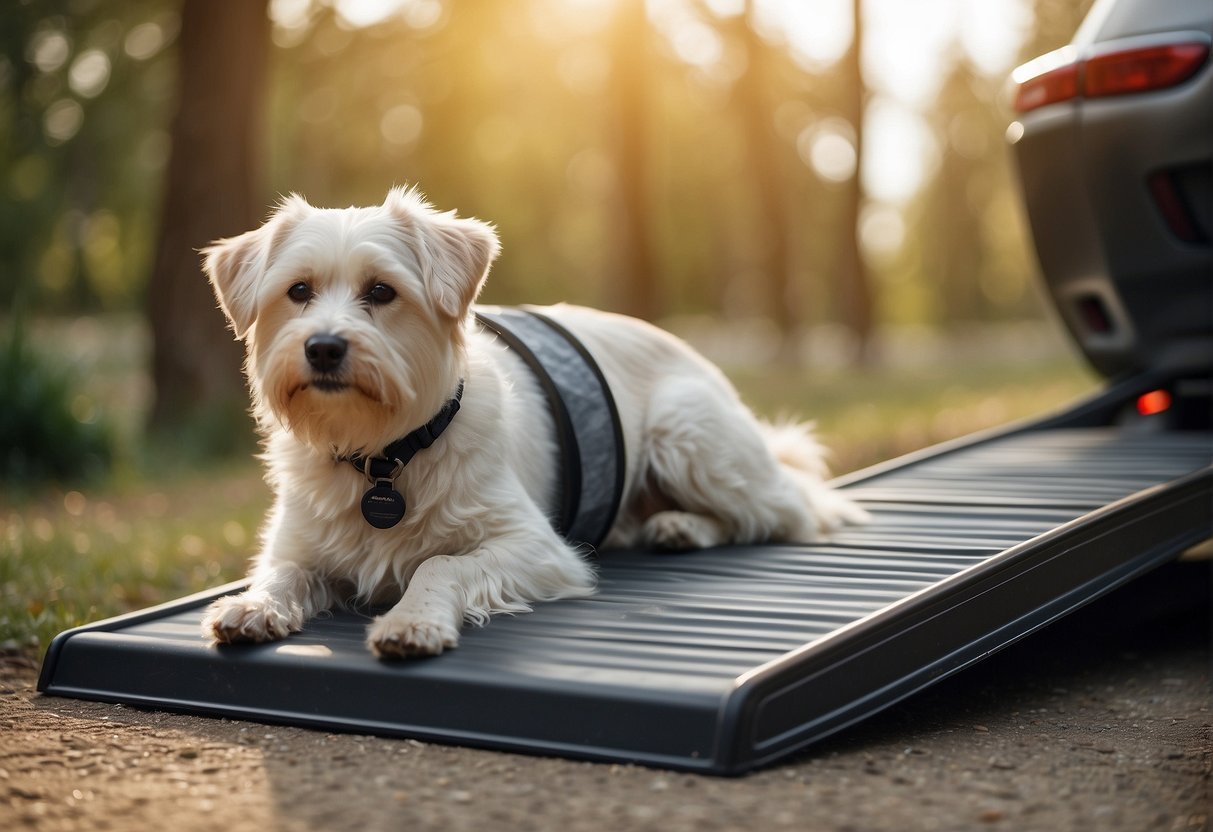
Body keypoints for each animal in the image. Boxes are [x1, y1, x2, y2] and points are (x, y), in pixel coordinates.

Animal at [201, 187, 863, 659]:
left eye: (382, 291)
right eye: (299, 291)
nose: (323, 348)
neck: (383, 455)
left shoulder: (537, 548)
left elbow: (439, 564)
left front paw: (413, 618)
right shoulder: (299, 547)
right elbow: (281, 573)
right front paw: (252, 605)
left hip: (690, 437)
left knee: (793, 509)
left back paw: (688, 524)